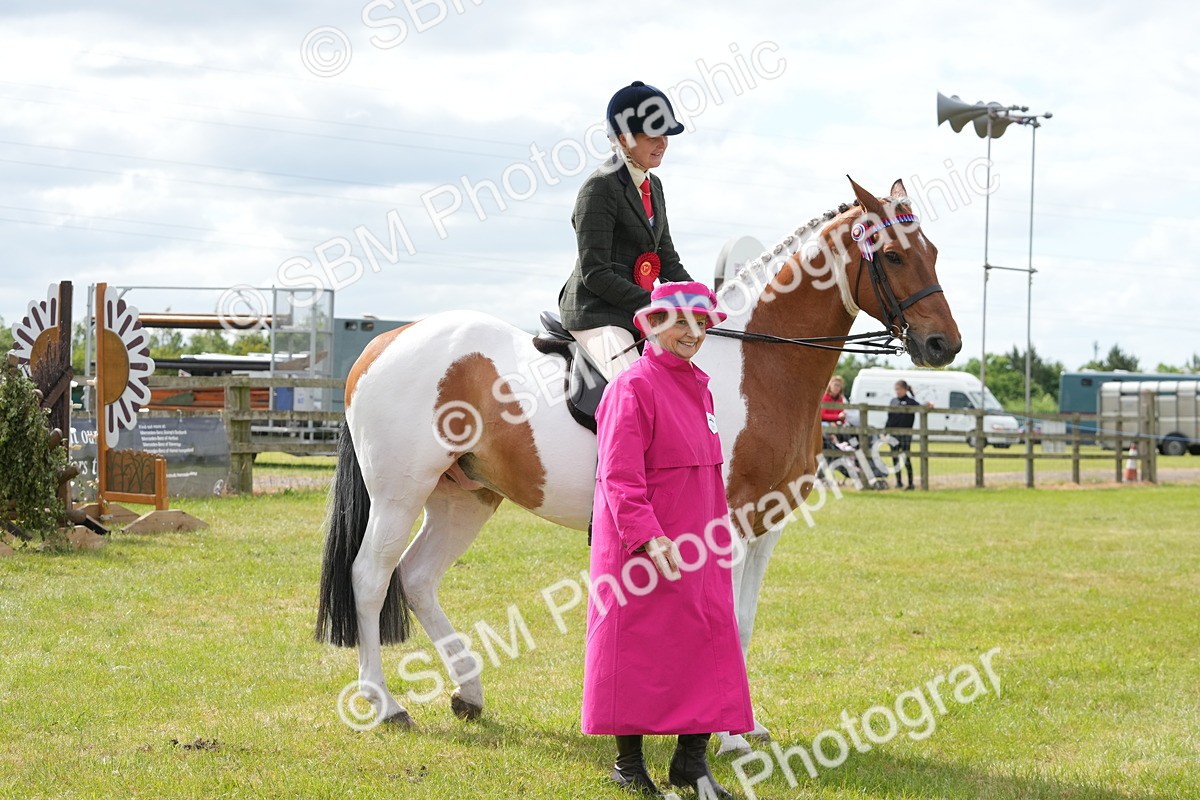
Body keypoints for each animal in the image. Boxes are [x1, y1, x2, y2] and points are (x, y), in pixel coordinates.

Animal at [315, 177, 963, 753]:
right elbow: (722, 621)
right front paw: (728, 736)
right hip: (400, 493)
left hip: (465, 495)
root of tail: (385, 342)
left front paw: (745, 726)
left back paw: (468, 694)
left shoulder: (766, 525)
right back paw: (386, 705)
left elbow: (743, 621)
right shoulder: (722, 524)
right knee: (370, 576)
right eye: (895, 256)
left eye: (933, 252)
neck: (759, 363)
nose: (944, 346)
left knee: (418, 576)